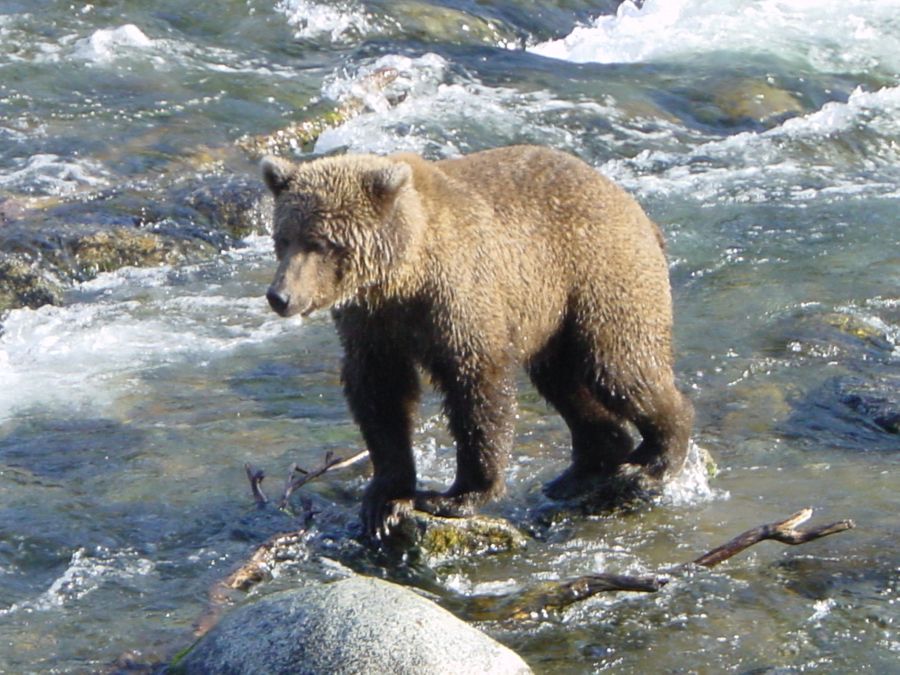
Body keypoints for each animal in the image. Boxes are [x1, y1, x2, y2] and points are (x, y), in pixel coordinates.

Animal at [262, 145, 696, 540]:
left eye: (321, 242)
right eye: (283, 238)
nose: (280, 296)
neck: (404, 275)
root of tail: (637, 208)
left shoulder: (459, 298)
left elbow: (476, 389)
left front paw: (456, 495)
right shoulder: (373, 325)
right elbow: (381, 396)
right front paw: (384, 501)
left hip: (597, 277)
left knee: (619, 365)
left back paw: (652, 462)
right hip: (554, 317)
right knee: (564, 382)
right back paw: (581, 472)